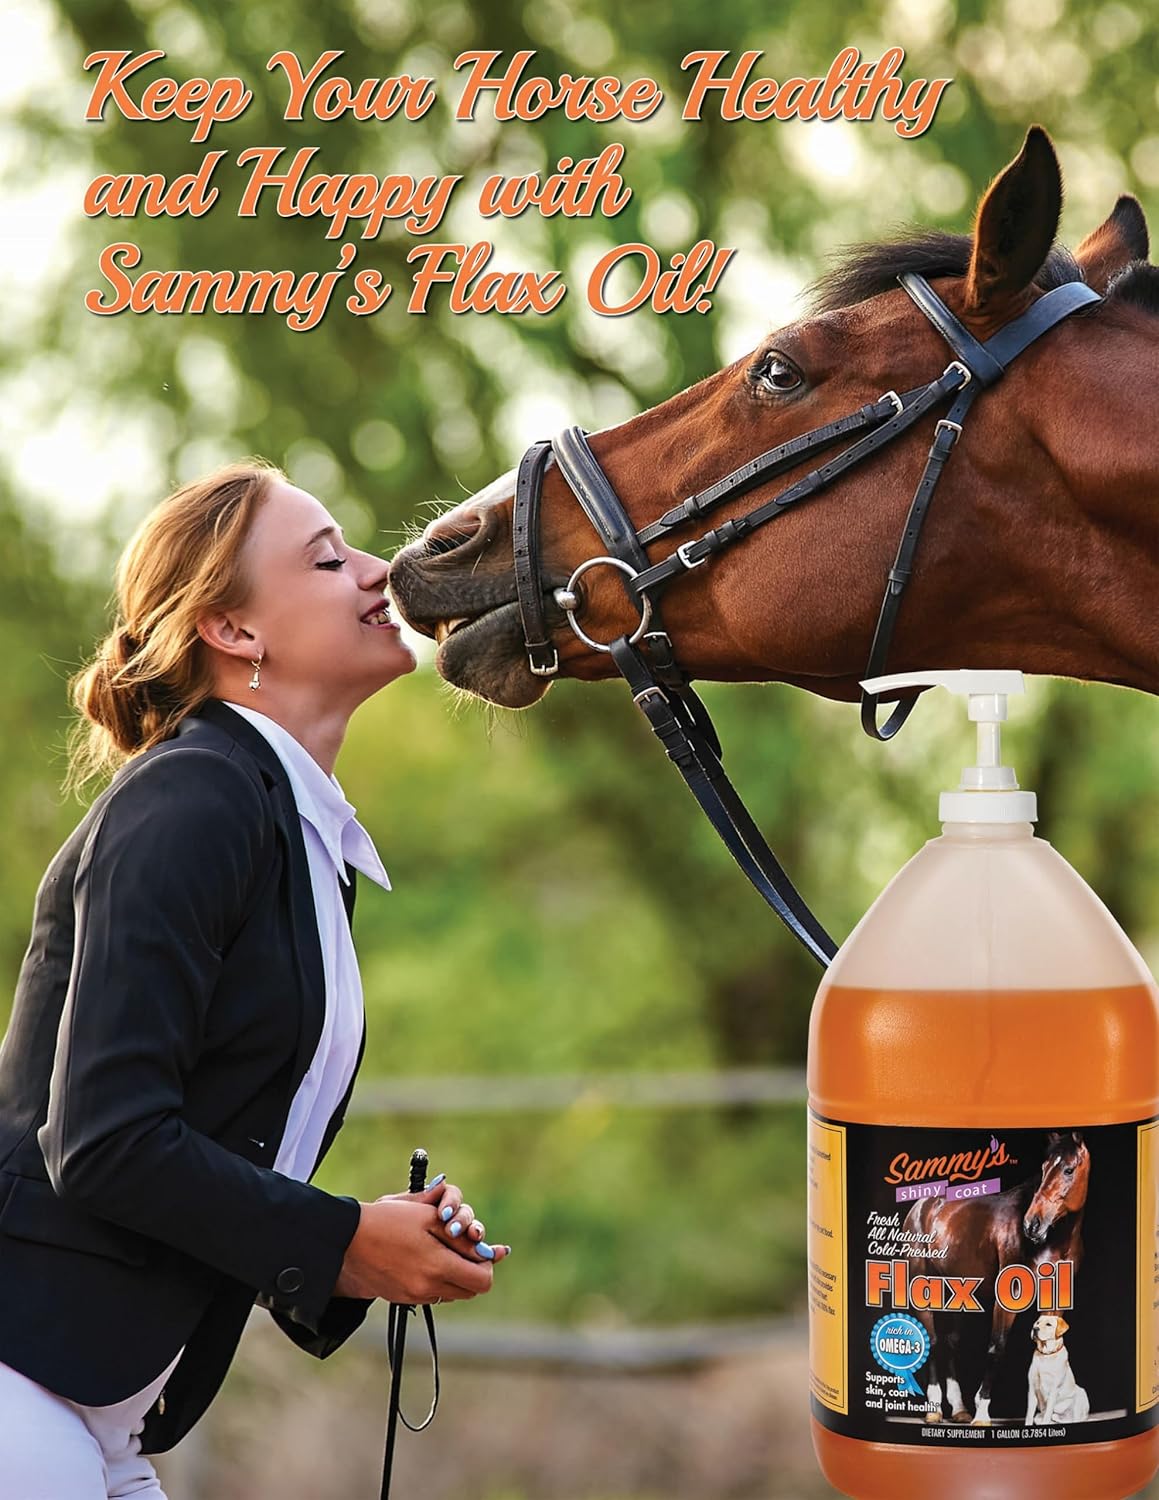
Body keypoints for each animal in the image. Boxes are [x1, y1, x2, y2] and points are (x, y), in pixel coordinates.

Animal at [905, 1130, 1089, 1426]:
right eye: (1044, 1168)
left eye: (1069, 1169)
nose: (1032, 1224)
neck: (1055, 1241)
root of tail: (922, 1206)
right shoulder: (1007, 1298)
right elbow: (996, 1347)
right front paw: (982, 1413)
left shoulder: (1055, 1301)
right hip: (921, 1286)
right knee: (930, 1338)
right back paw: (934, 1409)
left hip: (956, 1291)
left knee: (950, 1341)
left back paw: (959, 1408)